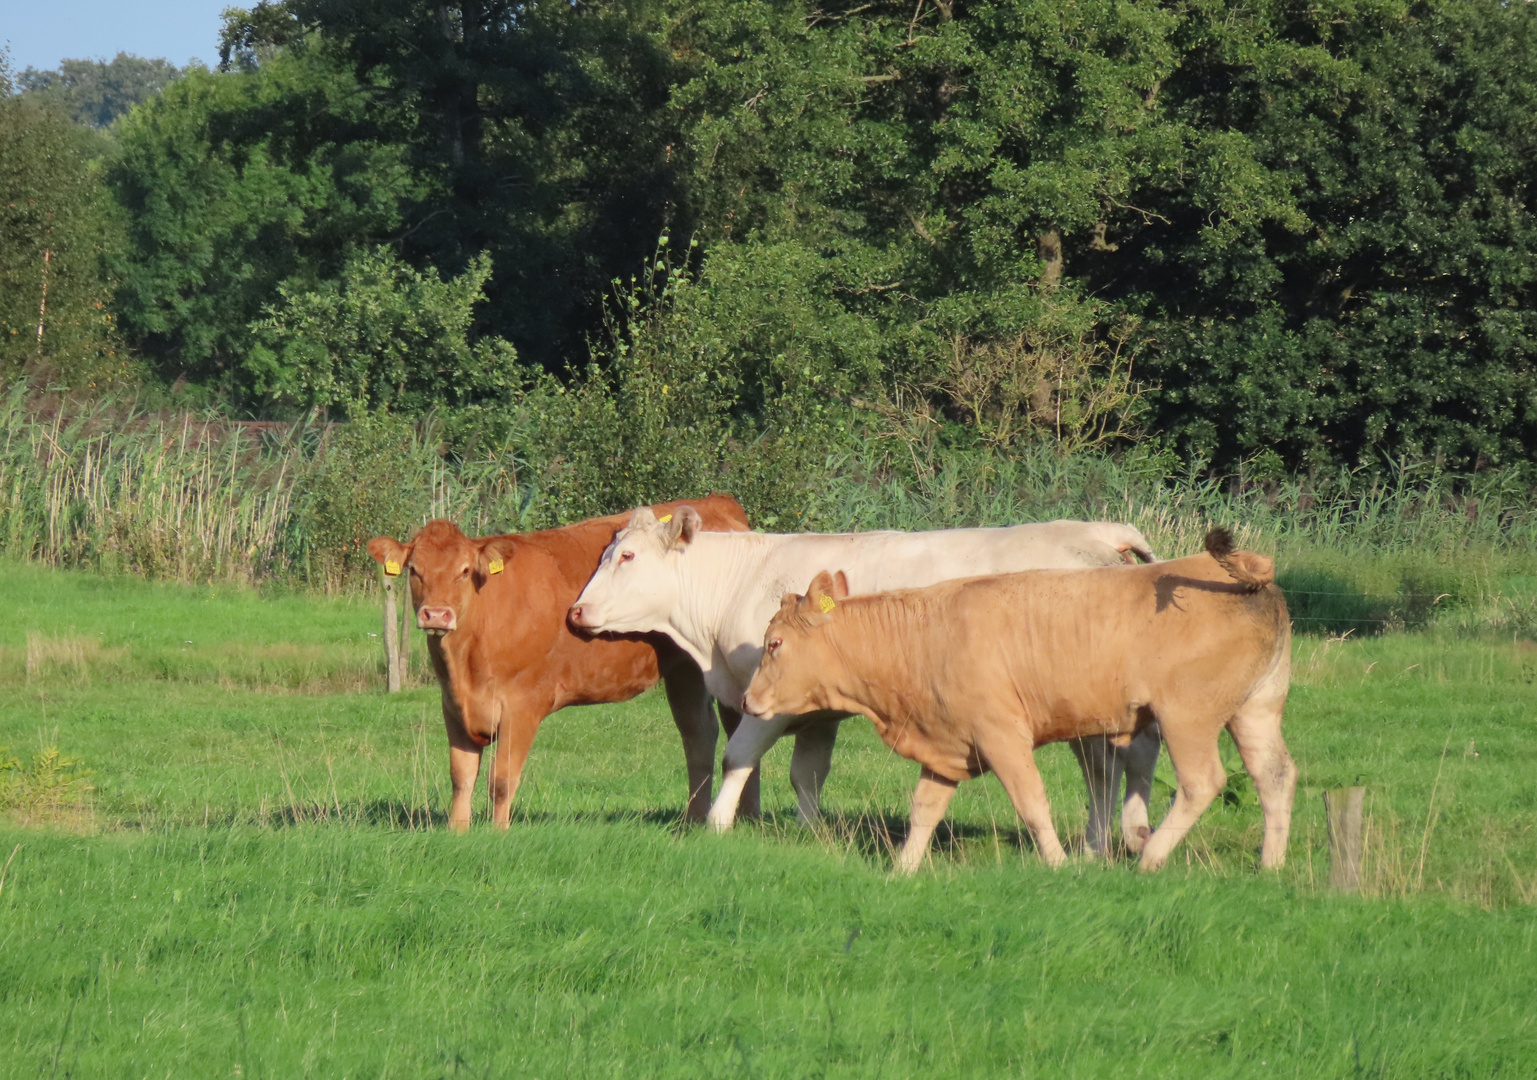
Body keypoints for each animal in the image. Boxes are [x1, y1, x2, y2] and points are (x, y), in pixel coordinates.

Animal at [373, 494, 756, 829]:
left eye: (464, 571)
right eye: (414, 571)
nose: (437, 614)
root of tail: (716, 502)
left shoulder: (522, 705)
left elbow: (502, 780)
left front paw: (498, 834)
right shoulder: (453, 706)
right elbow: (461, 777)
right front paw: (458, 832)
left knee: (737, 729)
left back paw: (748, 816)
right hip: (684, 670)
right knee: (698, 734)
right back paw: (694, 820)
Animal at [574, 506, 1161, 854]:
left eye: (627, 556)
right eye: (603, 554)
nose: (575, 611)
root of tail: (1093, 530)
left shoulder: (774, 702)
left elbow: (737, 757)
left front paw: (715, 825)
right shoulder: (816, 711)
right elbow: (807, 774)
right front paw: (810, 833)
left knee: (1104, 768)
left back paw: (1096, 845)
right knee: (1129, 758)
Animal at [737, 528, 1291, 872]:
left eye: (775, 643)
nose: (746, 700)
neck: (924, 635)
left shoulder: (1001, 734)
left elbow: (1031, 801)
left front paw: (1060, 864)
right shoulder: (945, 741)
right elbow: (924, 810)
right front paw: (903, 869)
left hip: (1186, 717)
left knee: (1202, 781)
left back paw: (1152, 857)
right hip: (1256, 708)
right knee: (1275, 776)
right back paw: (1270, 863)